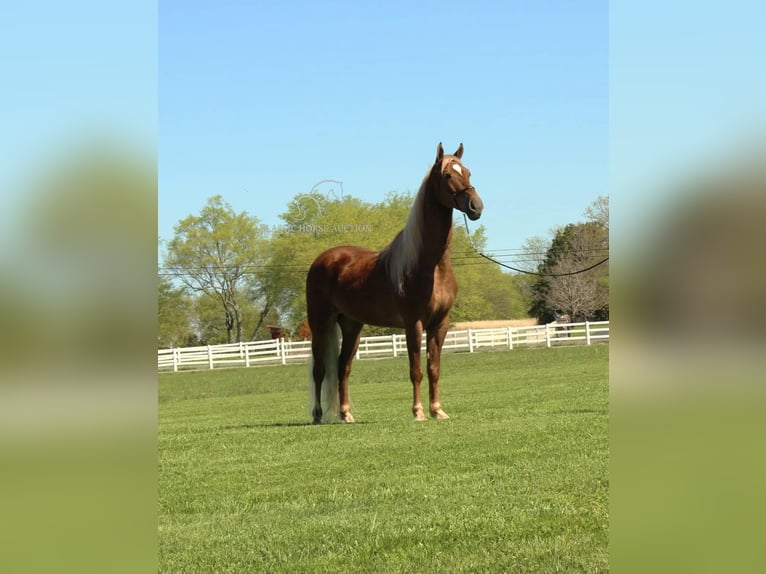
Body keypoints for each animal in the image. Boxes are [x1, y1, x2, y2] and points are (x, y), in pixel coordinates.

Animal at [308, 143, 484, 424]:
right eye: (447, 175)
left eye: (467, 172)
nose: (476, 206)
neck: (432, 267)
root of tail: (323, 259)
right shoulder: (414, 324)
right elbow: (415, 370)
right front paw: (419, 412)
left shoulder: (440, 324)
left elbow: (433, 368)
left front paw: (438, 410)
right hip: (320, 324)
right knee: (320, 370)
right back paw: (316, 414)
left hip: (352, 326)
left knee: (343, 367)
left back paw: (346, 414)